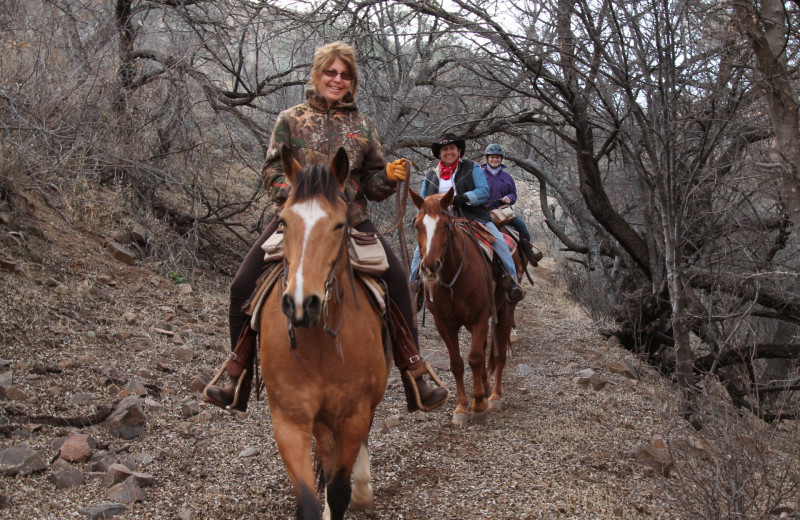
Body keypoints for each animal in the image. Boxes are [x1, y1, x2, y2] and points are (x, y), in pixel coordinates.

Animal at [260, 145, 390, 520]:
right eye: (284, 221)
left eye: (339, 224)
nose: (302, 303)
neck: (318, 346)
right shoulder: (289, 421)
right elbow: (309, 499)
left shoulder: (354, 416)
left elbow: (338, 490)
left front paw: (354, 493)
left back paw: (363, 488)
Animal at [410, 189, 516, 424]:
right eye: (417, 225)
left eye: (445, 225)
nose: (429, 267)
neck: (453, 277)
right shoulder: (443, 323)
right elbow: (457, 363)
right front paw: (460, 407)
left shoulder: (480, 316)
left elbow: (474, 357)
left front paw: (478, 405)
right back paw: (485, 385)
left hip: (504, 310)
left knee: (499, 354)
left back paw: (495, 396)